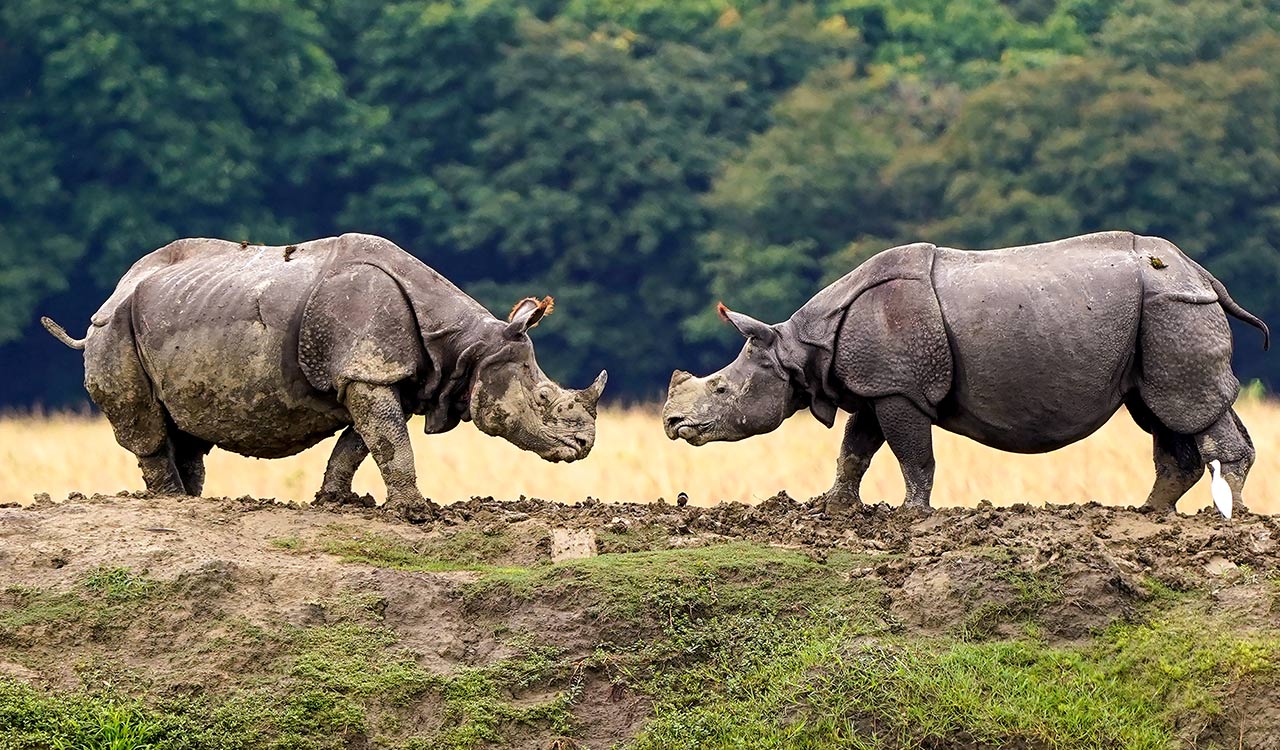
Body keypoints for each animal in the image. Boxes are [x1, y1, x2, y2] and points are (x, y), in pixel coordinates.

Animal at [42, 233, 606, 520]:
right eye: (542, 397)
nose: (584, 446)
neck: (465, 345)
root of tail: (114, 293)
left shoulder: (375, 376)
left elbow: (361, 443)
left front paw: (338, 501)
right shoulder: (367, 371)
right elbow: (391, 444)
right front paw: (416, 512)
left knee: (185, 430)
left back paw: (191, 498)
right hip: (112, 332)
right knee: (147, 428)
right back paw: (170, 502)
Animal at [663, 231, 1269, 514]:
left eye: (722, 388)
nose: (671, 424)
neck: (801, 346)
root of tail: (1203, 275)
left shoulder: (900, 387)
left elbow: (911, 453)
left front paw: (910, 514)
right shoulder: (881, 384)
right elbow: (855, 448)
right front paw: (833, 507)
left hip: (1173, 307)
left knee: (1185, 404)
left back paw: (1230, 515)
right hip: (1162, 311)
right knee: (1161, 410)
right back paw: (1150, 513)